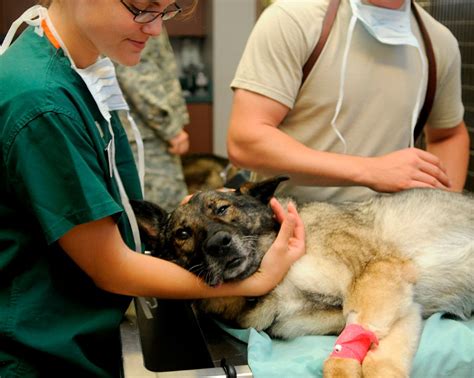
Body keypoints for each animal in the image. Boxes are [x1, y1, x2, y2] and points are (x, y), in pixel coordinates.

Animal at [131, 177, 474, 378]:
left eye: (223, 208)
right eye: (183, 234)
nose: (219, 243)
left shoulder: (378, 276)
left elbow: (348, 358)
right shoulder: (401, 307)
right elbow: (376, 358)